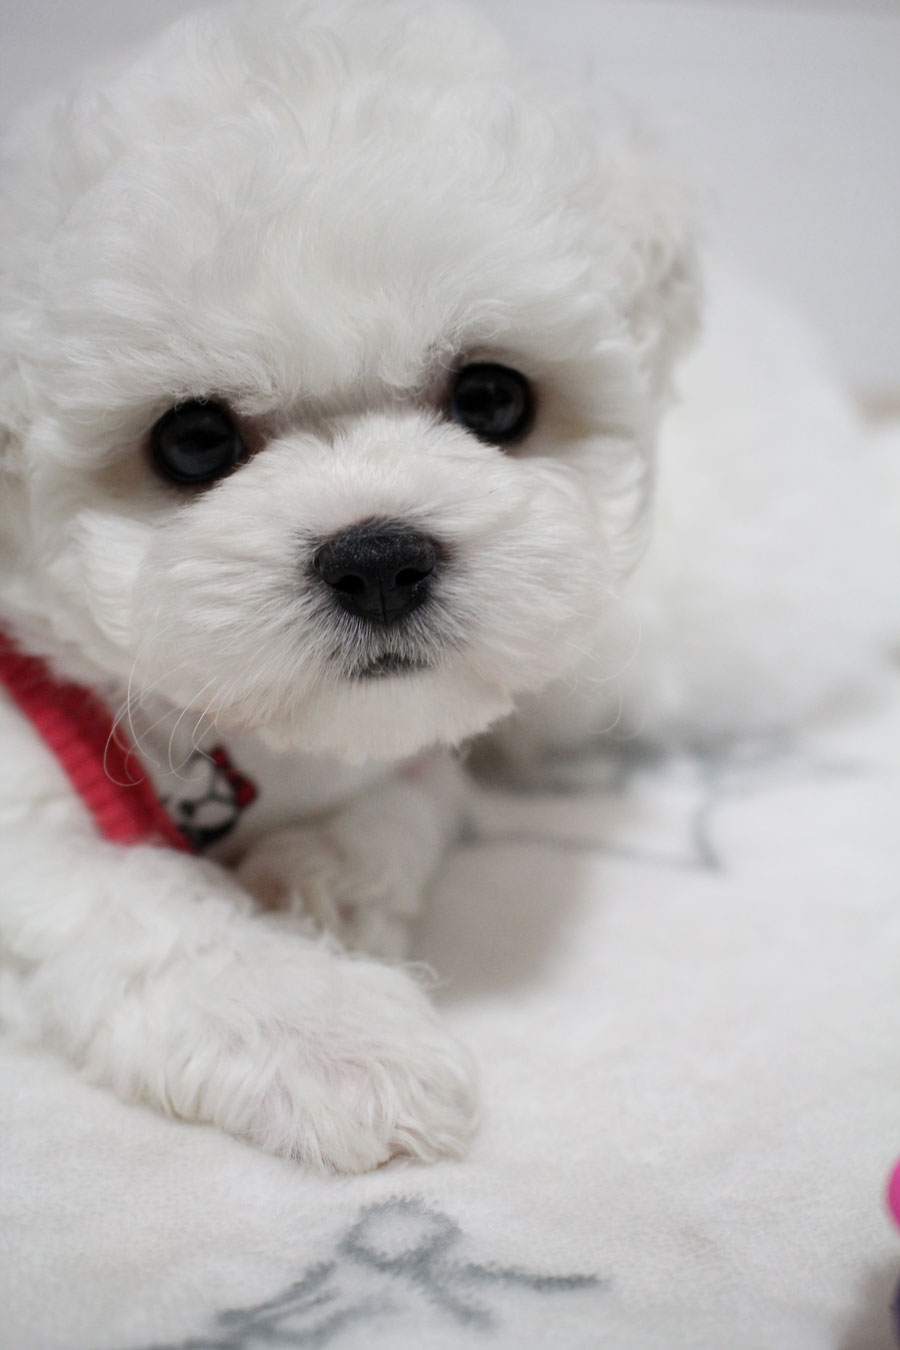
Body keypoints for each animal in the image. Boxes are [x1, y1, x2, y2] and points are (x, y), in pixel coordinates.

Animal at [0, 0, 895, 1172]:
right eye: (192, 439)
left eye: (493, 397)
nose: (378, 557)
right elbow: (139, 908)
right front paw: (327, 1034)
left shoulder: (430, 736)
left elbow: (411, 802)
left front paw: (324, 882)